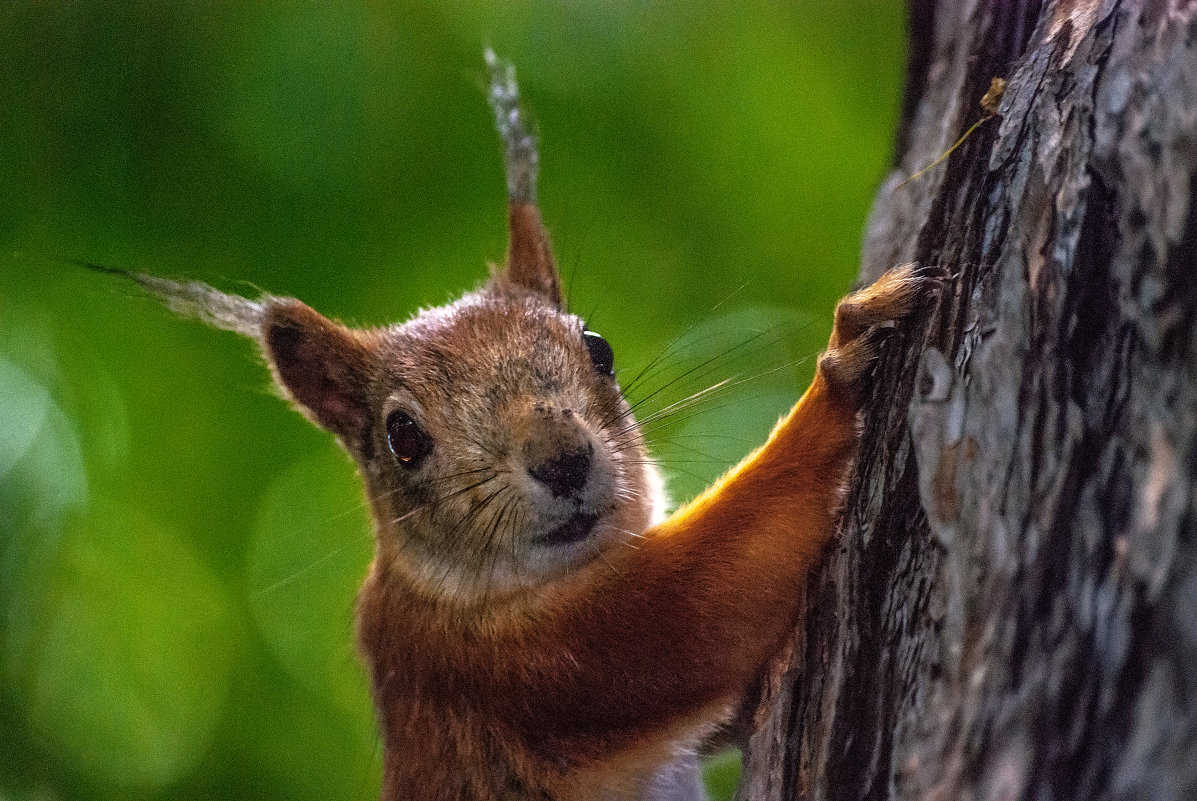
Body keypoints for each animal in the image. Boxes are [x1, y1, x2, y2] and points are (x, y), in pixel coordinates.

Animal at [100, 51, 933, 799]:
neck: (454, 592)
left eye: (597, 348)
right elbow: (699, 604)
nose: (563, 460)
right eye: (403, 438)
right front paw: (843, 357)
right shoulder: (515, 664)